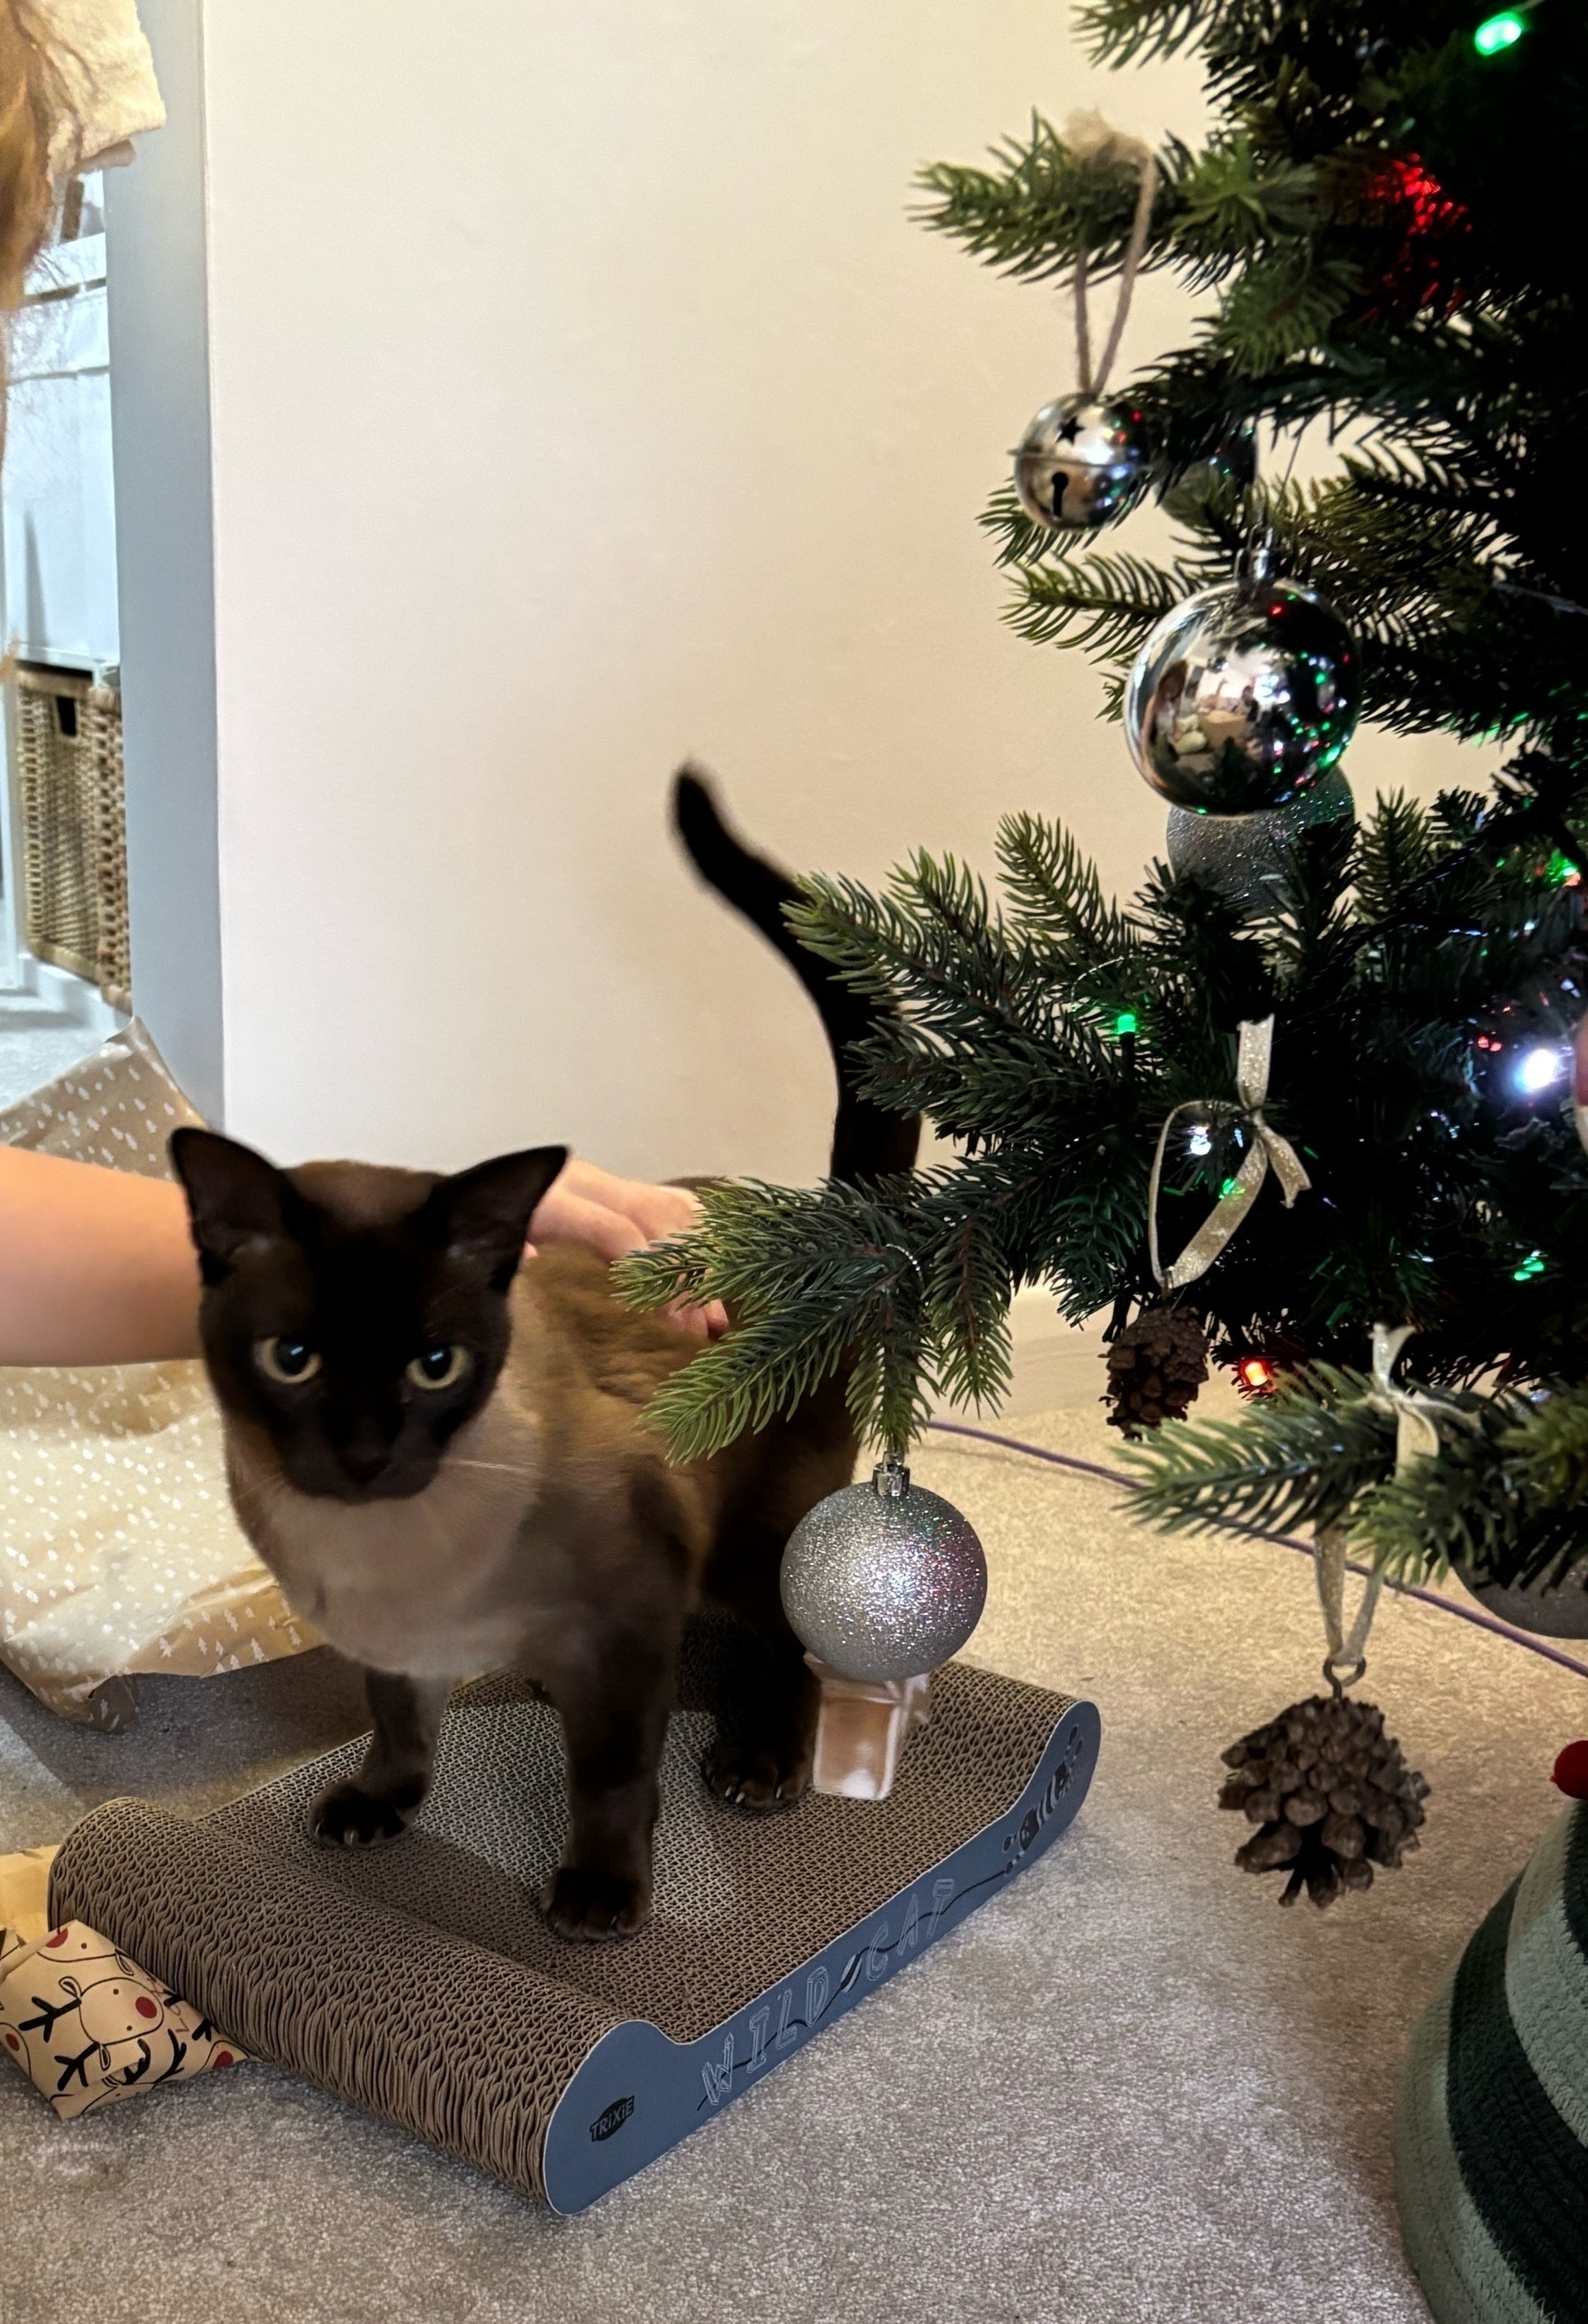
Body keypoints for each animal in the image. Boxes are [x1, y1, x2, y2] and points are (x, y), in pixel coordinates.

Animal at [170, 776, 920, 1942]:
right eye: (292, 1357)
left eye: (435, 1364)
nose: (365, 1453)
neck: (384, 1557)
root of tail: (812, 1217)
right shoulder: (398, 1651)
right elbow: (398, 1724)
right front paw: (381, 1803)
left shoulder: (631, 1617)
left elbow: (611, 1775)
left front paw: (602, 1894)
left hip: (755, 1542)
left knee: (802, 1637)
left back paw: (758, 1760)